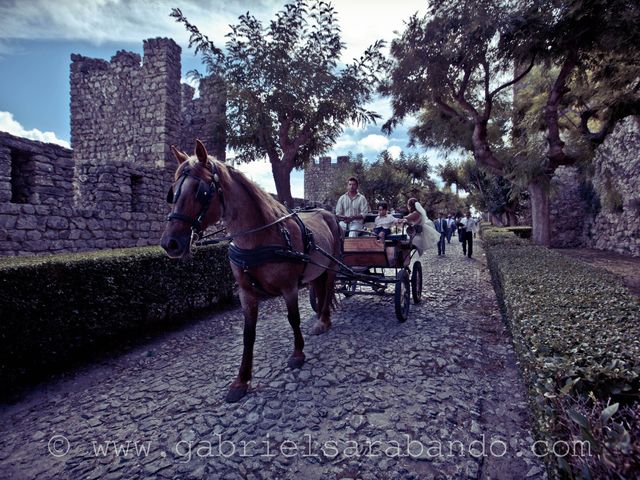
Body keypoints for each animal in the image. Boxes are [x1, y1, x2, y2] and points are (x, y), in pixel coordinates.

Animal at [161, 140, 340, 402]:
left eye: (201, 191)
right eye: (172, 192)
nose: (170, 243)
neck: (260, 238)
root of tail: (328, 213)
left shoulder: (289, 287)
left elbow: (293, 318)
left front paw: (298, 353)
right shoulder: (246, 294)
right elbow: (248, 334)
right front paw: (241, 380)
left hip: (332, 265)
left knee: (327, 290)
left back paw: (324, 320)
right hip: (316, 268)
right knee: (318, 287)